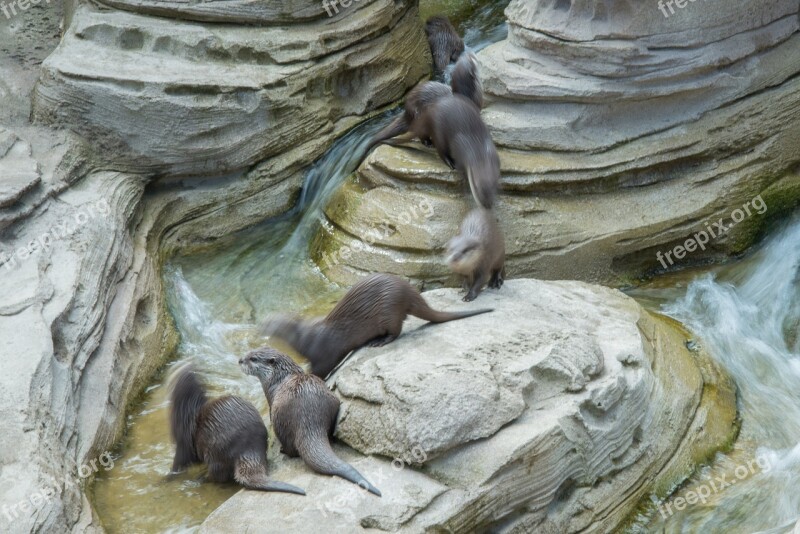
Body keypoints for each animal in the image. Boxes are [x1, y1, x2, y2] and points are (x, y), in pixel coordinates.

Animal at [167, 364, 304, 498]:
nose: (179, 367)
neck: (187, 410)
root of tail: (248, 449)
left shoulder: (183, 440)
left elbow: (180, 460)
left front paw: (168, 477)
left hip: (215, 451)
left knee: (218, 475)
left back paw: (200, 478)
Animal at [239, 348, 382, 498]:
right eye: (249, 352)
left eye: (253, 358)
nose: (240, 360)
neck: (280, 378)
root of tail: (309, 418)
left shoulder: (270, 394)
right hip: (333, 402)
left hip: (280, 420)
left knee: (290, 447)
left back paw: (283, 450)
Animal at [262, 274, 490, 378]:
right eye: (266, 320)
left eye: (272, 323)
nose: (261, 327)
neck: (303, 338)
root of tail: (409, 291)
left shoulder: (322, 353)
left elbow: (319, 370)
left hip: (389, 312)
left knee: (397, 331)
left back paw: (379, 341)